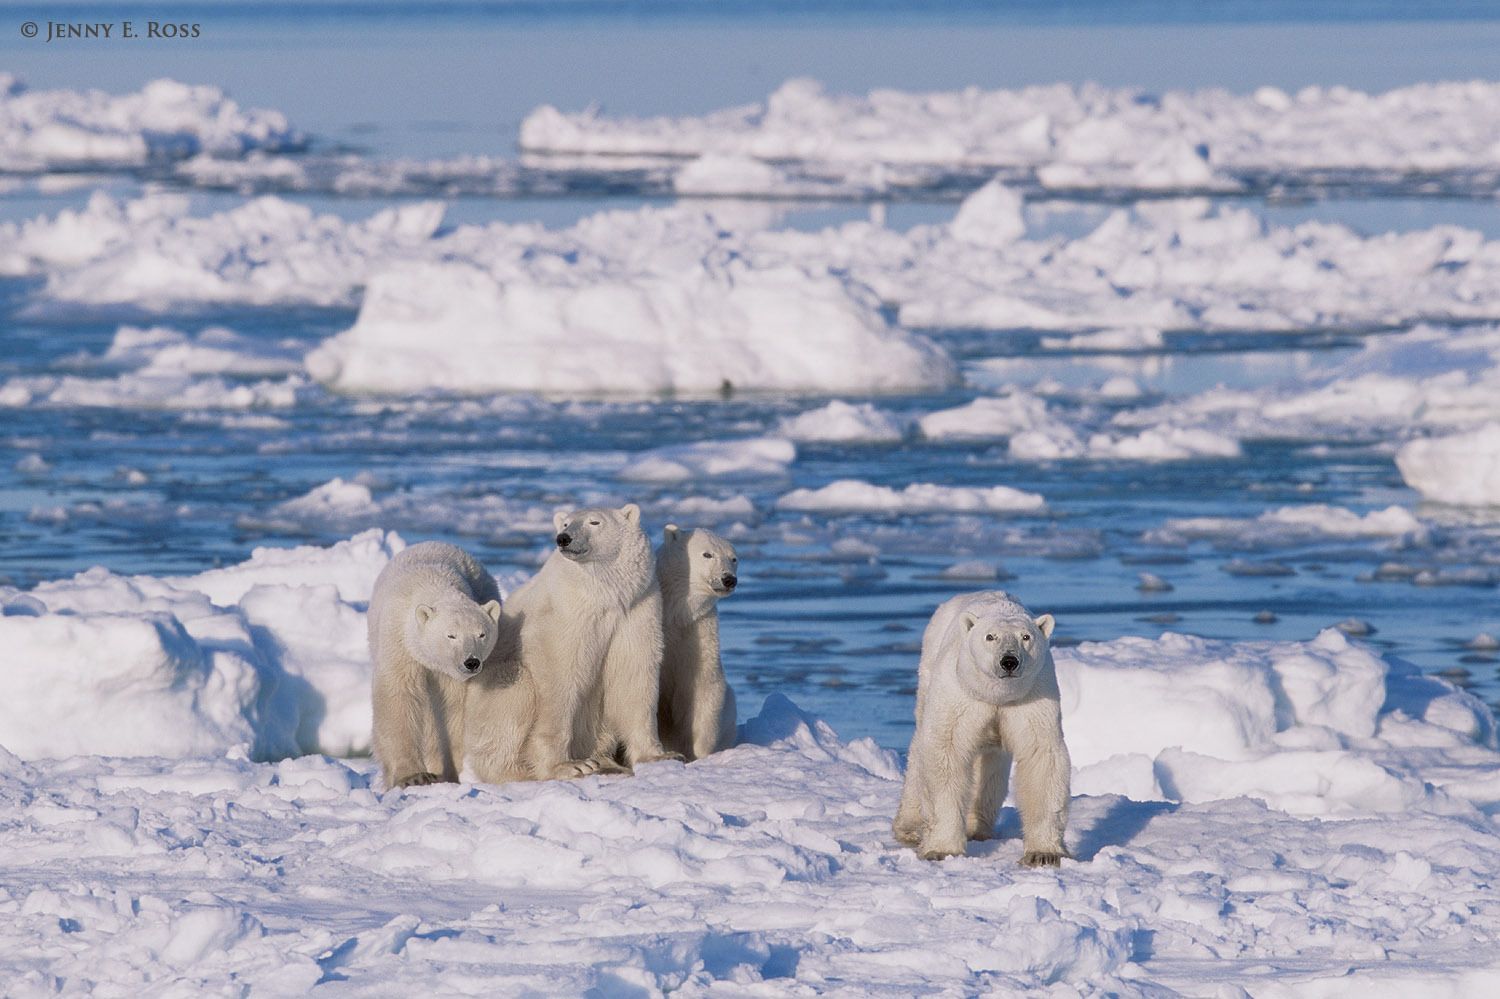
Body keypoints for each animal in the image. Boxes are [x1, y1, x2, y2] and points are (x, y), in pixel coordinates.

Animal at [367, 541, 502, 790]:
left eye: (481, 634)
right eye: (451, 635)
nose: (471, 662)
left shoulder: (450, 676)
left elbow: (451, 711)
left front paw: (446, 773)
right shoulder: (399, 644)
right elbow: (398, 696)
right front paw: (412, 776)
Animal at [466, 503, 676, 781]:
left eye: (595, 522)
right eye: (565, 524)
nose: (563, 539)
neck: (603, 595)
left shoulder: (636, 609)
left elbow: (634, 674)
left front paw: (660, 756)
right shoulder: (565, 615)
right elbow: (560, 677)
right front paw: (568, 766)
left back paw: (605, 763)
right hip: (486, 700)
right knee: (517, 689)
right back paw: (519, 771)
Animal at [655, 525, 739, 761]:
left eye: (733, 558)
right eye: (707, 554)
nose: (729, 579)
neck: (676, 614)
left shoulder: (698, 631)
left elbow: (705, 686)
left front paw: (700, 754)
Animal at [892, 591, 1070, 866]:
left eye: (1026, 637)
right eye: (990, 637)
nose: (1009, 661)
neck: (996, 695)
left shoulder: (1032, 696)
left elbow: (1041, 756)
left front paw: (1043, 854)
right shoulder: (960, 695)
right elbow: (947, 751)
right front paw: (942, 849)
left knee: (990, 766)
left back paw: (977, 828)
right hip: (929, 668)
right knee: (921, 743)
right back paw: (910, 826)